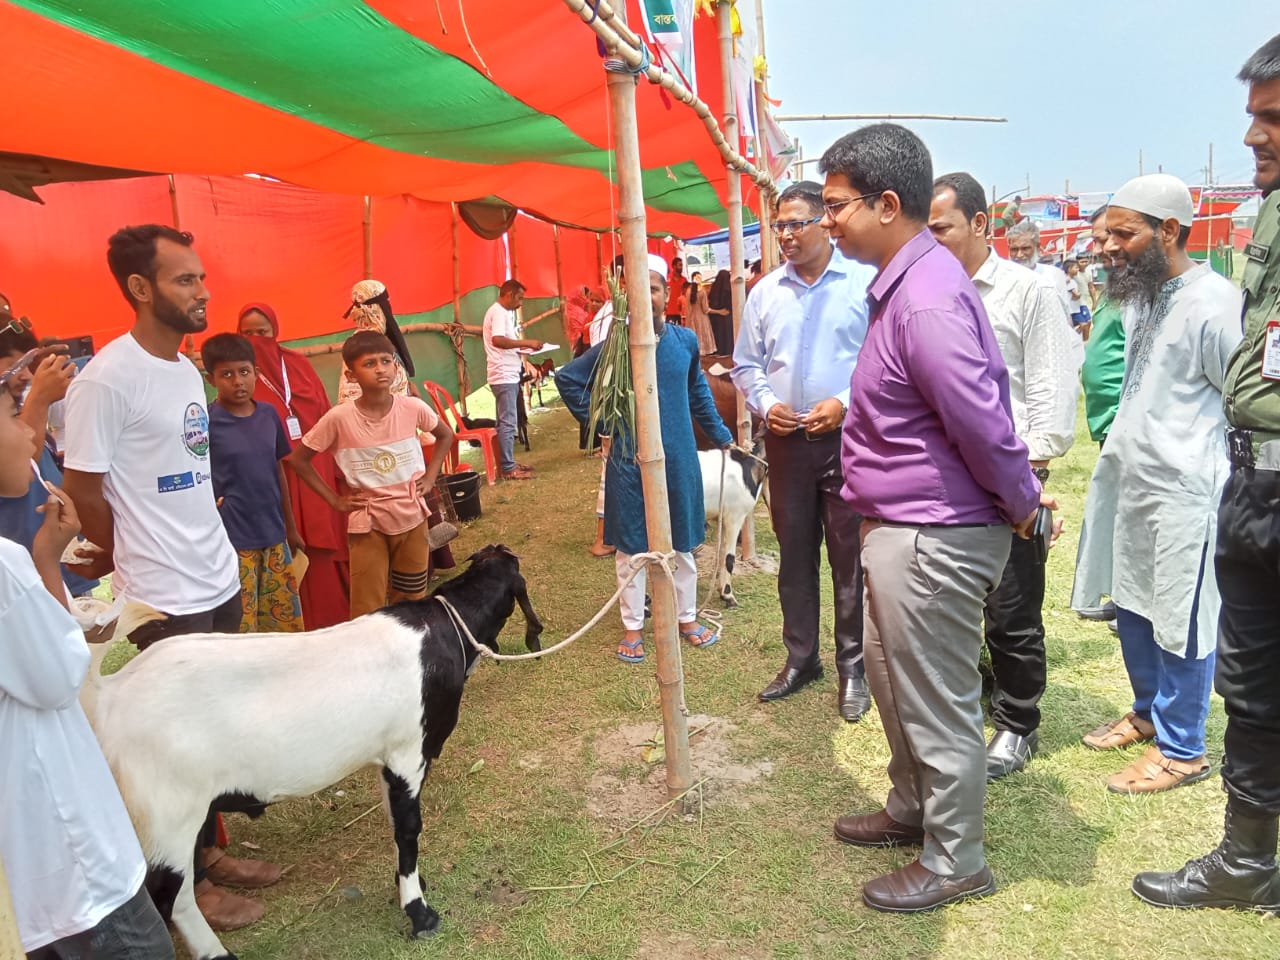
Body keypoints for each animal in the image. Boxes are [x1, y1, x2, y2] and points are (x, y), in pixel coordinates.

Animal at [88, 547, 540, 960]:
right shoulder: (408, 754)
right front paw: (418, 911)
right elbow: (409, 828)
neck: (443, 629)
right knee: (171, 897)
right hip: (168, 816)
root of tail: (107, 695)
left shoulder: (386, 758)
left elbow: (393, 820)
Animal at [706, 440, 762, 604]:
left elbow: (721, 554)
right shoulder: (735, 517)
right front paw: (728, 595)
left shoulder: (723, 518)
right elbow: (730, 558)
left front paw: (720, 589)